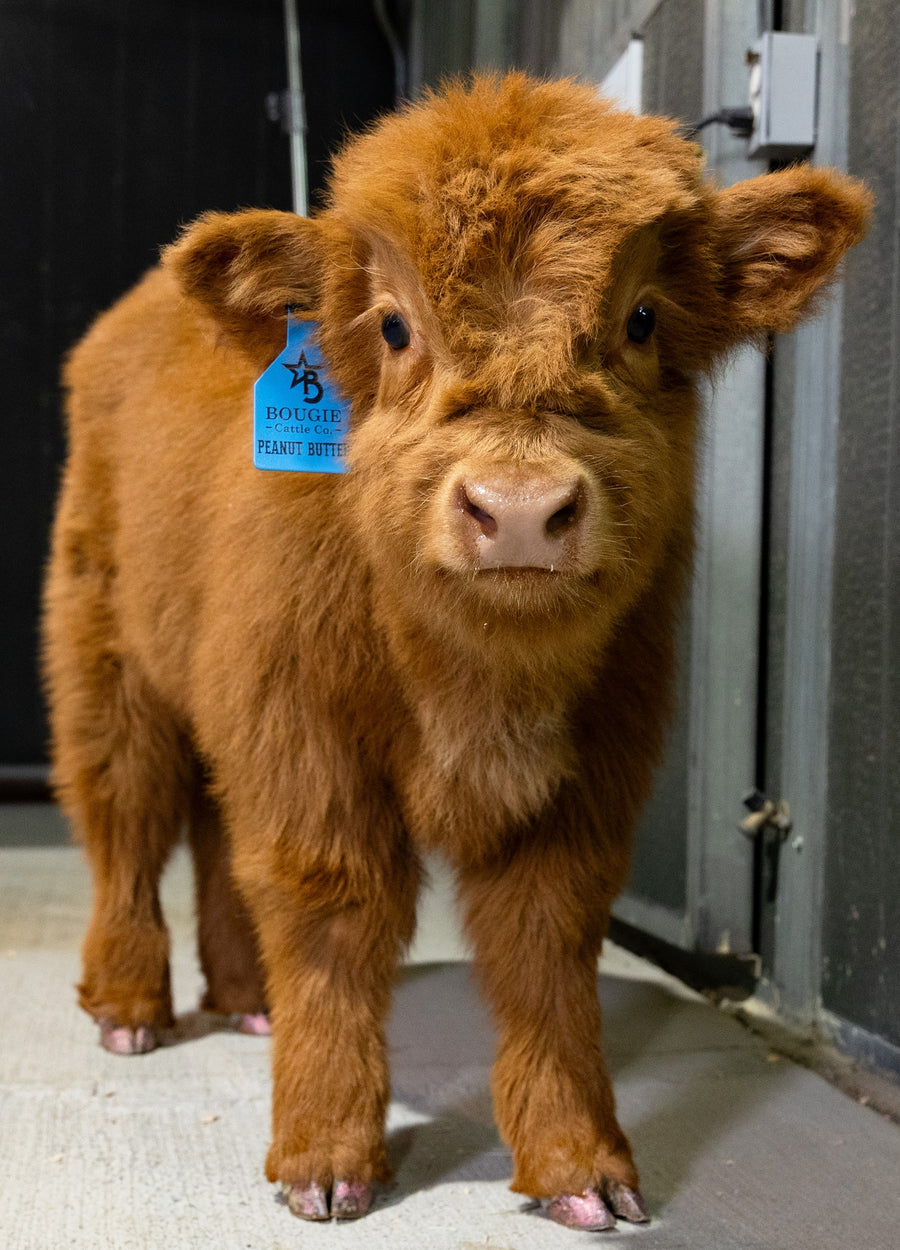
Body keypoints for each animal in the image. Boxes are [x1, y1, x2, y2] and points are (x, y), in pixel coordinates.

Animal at [42, 74, 870, 1231]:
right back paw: (128, 1006)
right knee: (124, 818)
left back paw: (247, 1000)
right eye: (392, 324)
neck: (477, 681)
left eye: (642, 317)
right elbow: (333, 920)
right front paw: (325, 1156)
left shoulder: (591, 770)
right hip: (107, 660)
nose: (518, 510)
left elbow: (546, 949)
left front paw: (582, 1165)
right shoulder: (310, 751)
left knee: (208, 833)